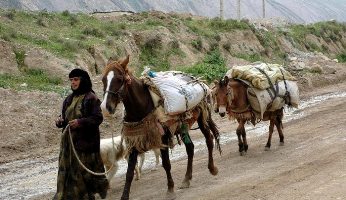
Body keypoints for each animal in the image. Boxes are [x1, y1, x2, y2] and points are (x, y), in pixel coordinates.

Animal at [100, 55, 220, 199]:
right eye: (103, 79)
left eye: (119, 79)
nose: (105, 108)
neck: (142, 107)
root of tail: (198, 81)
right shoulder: (135, 141)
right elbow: (129, 172)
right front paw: (124, 196)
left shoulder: (163, 138)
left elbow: (166, 164)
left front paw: (170, 189)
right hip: (183, 126)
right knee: (190, 148)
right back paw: (186, 179)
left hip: (203, 118)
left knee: (209, 140)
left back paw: (212, 168)